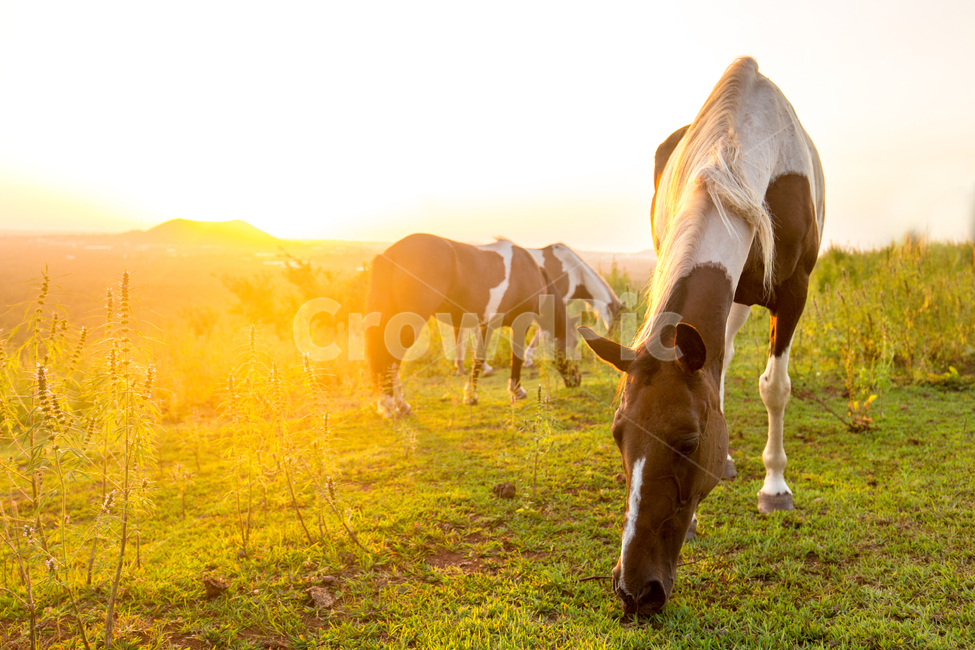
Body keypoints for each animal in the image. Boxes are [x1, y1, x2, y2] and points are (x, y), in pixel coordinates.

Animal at [366, 233, 581, 418]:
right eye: (575, 343)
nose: (577, 379)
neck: (531, 273)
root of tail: (391, 254)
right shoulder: (521, 322)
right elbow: (515, 356)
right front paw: (515, 390)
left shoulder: (486, 325)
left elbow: (478, 358)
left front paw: (471, 394)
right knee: (391, 359)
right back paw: (391, 404)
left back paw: (397, 404)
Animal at [450, 243, 623, 373]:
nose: (615, 340)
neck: (575, 271)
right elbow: (542, 331)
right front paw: (530, 359)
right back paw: (481, 366)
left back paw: (463, 366)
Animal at [581, 57, 824, 615]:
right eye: (618, 435)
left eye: (690, 442)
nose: (634, 591)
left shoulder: (793, 292)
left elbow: (775, 388)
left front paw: (775, 488)